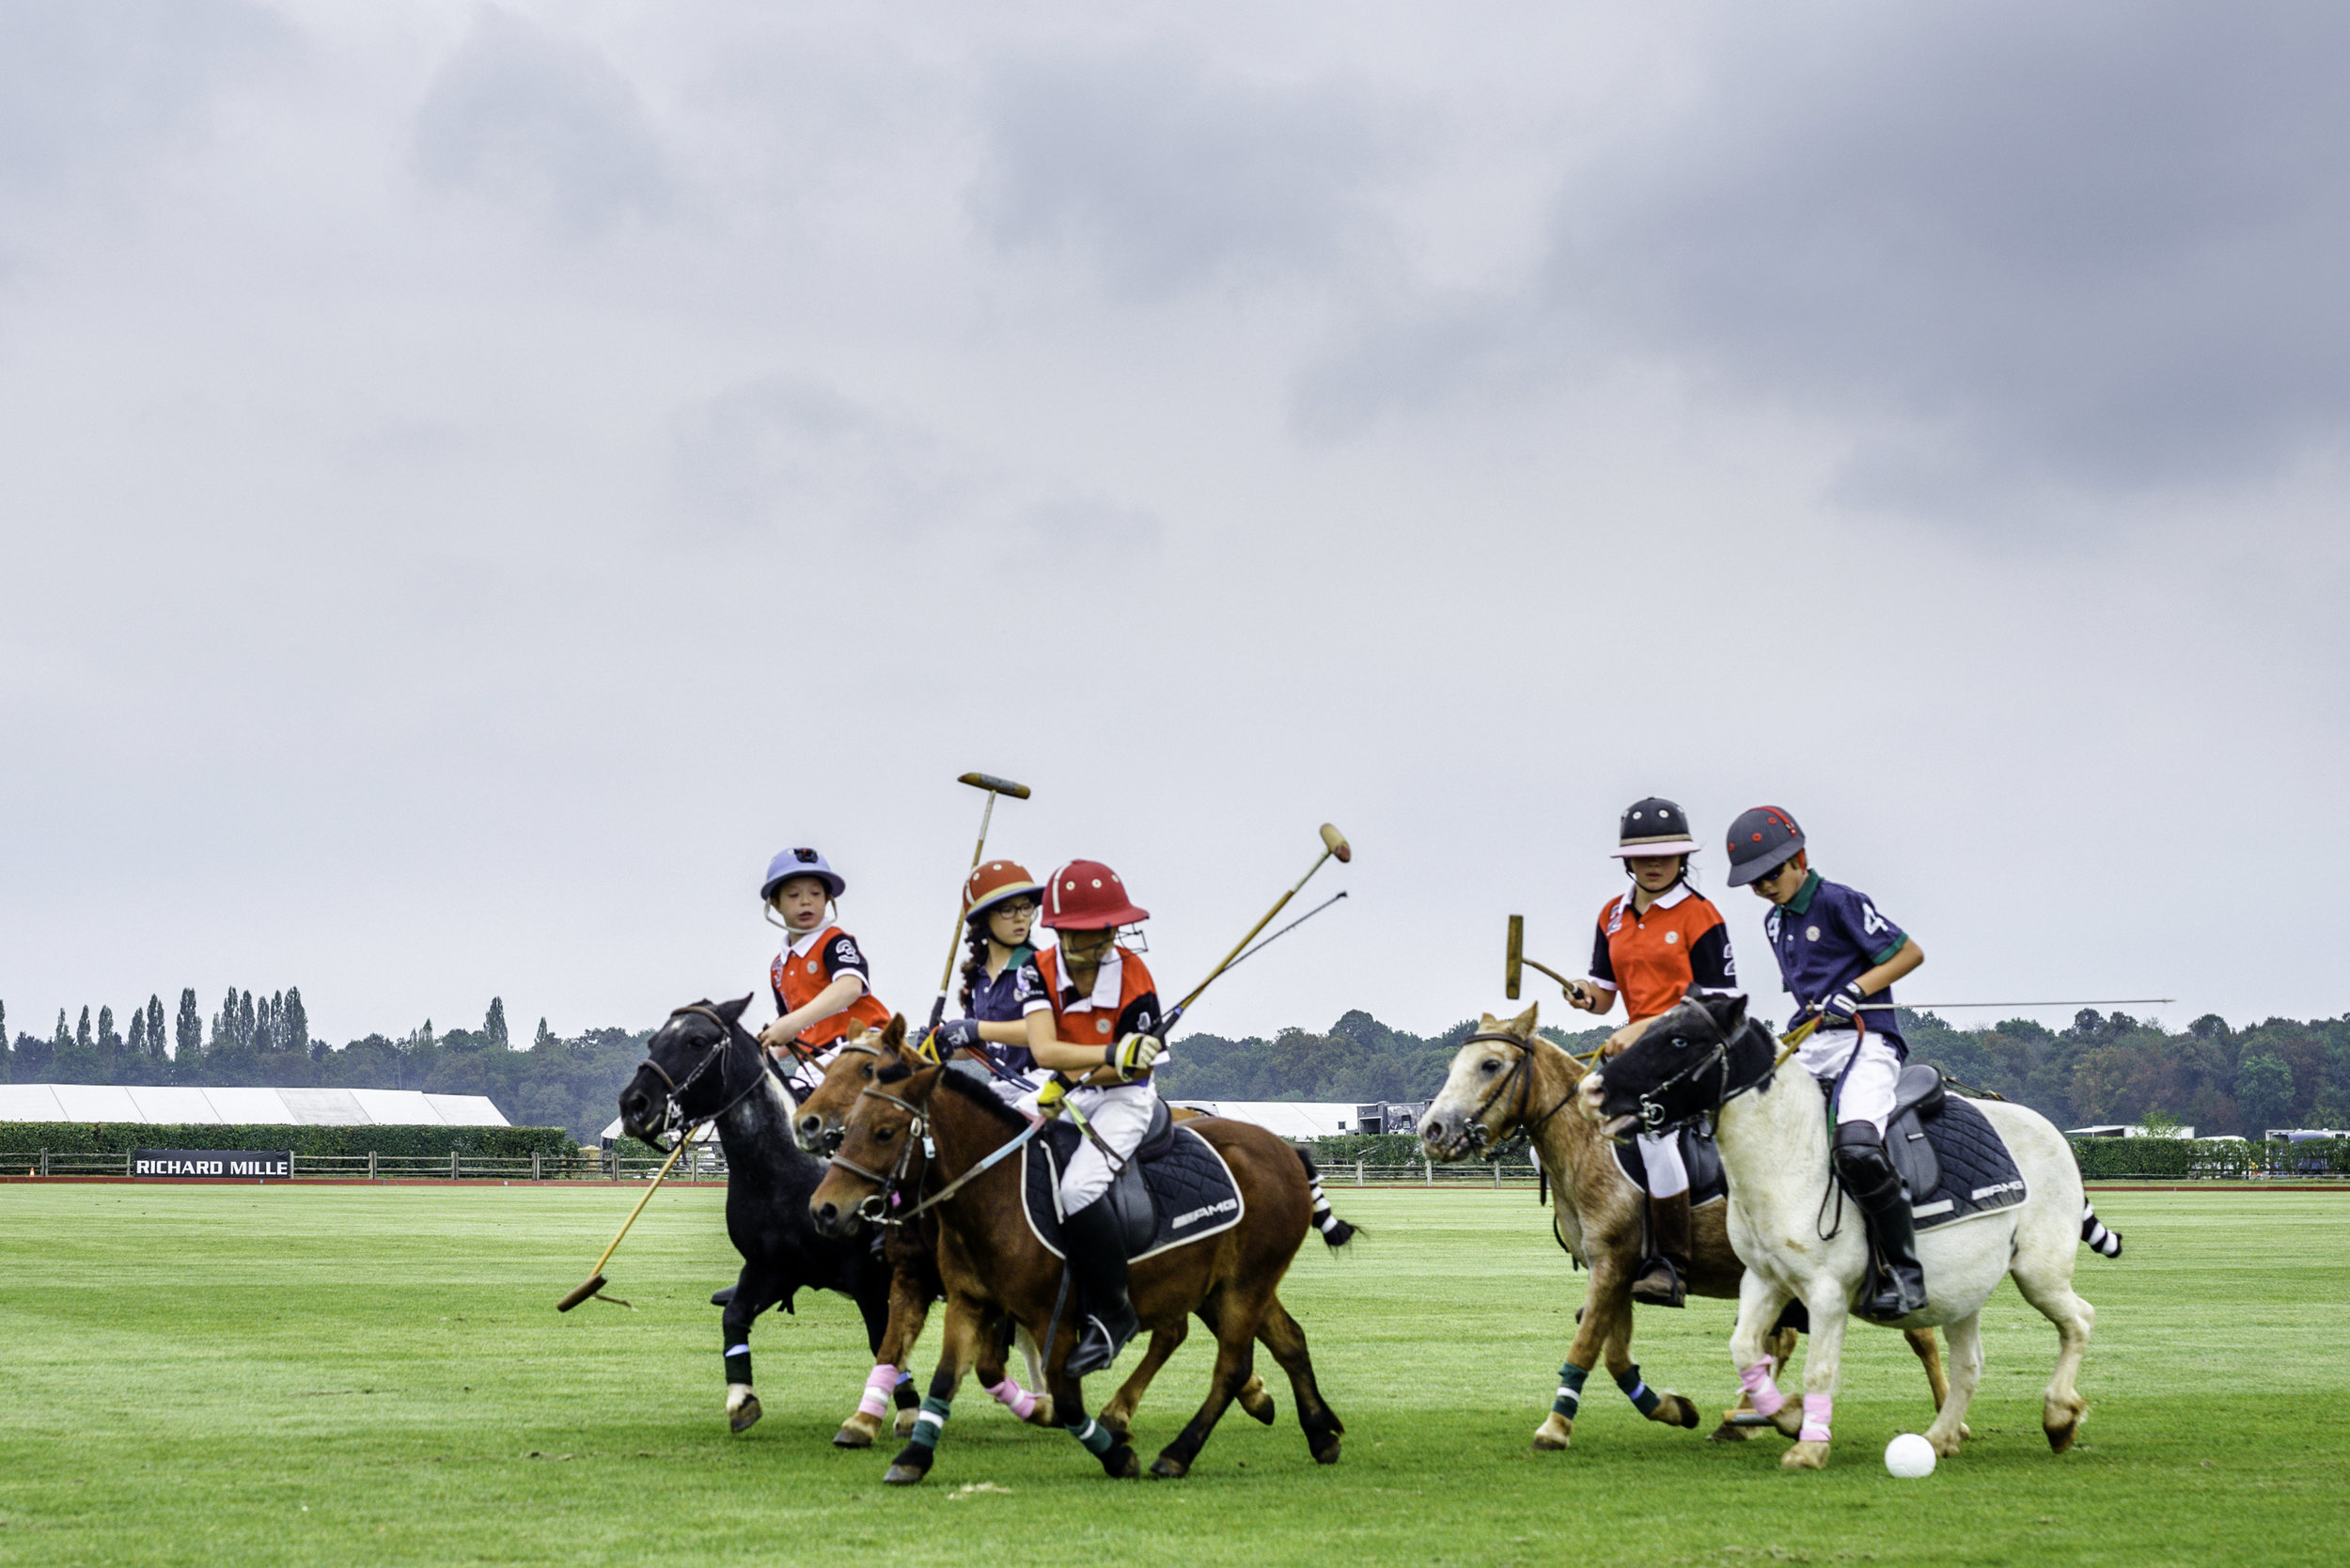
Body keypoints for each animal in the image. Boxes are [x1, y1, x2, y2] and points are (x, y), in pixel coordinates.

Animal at [616, 992, 888, 1438]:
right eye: (653, 1041)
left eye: (696, 1041)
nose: (633, 1106)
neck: (789, 1174)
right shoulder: (771, 1267)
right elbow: (734, 1318)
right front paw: (742, 1401)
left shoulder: (868, 1277)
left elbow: (885, 1343)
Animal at [808, 1053, 1354, 1485]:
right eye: (850, 1124)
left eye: (884, 1132)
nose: (824, 1209)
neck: (994, 1193)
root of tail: (1287, 1150)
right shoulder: (967, 1300)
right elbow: (945, 1376)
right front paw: (912, 1458)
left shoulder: (1053, 1315)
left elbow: (1066, 1399)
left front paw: (1115, 1456)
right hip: (1226, 1283)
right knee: (1284, 1340)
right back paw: (1319, 1431)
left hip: (1244, 1282)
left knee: (1229, 1364)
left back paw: (1175, 1451)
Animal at [1419, 1011, 1955, 1457]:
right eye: (1453, 1064)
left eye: (1490, 1064)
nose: (1431, 1130)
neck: (1590, 1145)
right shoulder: (1616, 1268)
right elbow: (1616, 1356)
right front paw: (1676, 1409)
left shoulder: (1613, 1262)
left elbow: (1587, 1345)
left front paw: (1553, 1428)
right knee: (1782, 1341)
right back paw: (1744, 1420)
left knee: (1920, 1333)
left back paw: (1949, 1419)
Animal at [1589, 992, 2124, 1476]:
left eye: (1680, 1039)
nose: (1594, 1089)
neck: (1785, 1151)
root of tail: (2046, 1126)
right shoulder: (1763, 1278)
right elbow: (1744, 1349)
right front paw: (1788, 1417)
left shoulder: (1825, 1289)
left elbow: (1820, 1368)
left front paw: (1808, 1446)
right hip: (1963, 1289)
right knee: (1970, 1363)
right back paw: (1939, 1438)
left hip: (2039, 1270)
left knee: (2079, 1319)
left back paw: (2058, 1418)